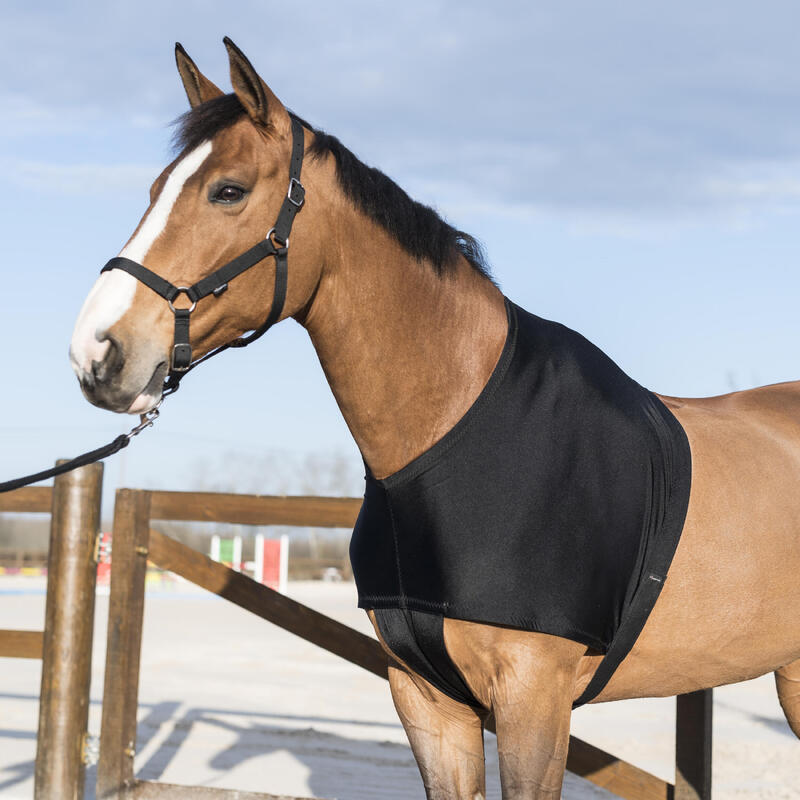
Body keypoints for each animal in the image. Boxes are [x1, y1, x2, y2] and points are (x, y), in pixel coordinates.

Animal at [70, 39, 800, 800]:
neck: (455, 429)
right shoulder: (426, 697)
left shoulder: (534, 705)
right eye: (154, 190)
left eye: (229, 190)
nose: (96, 350)